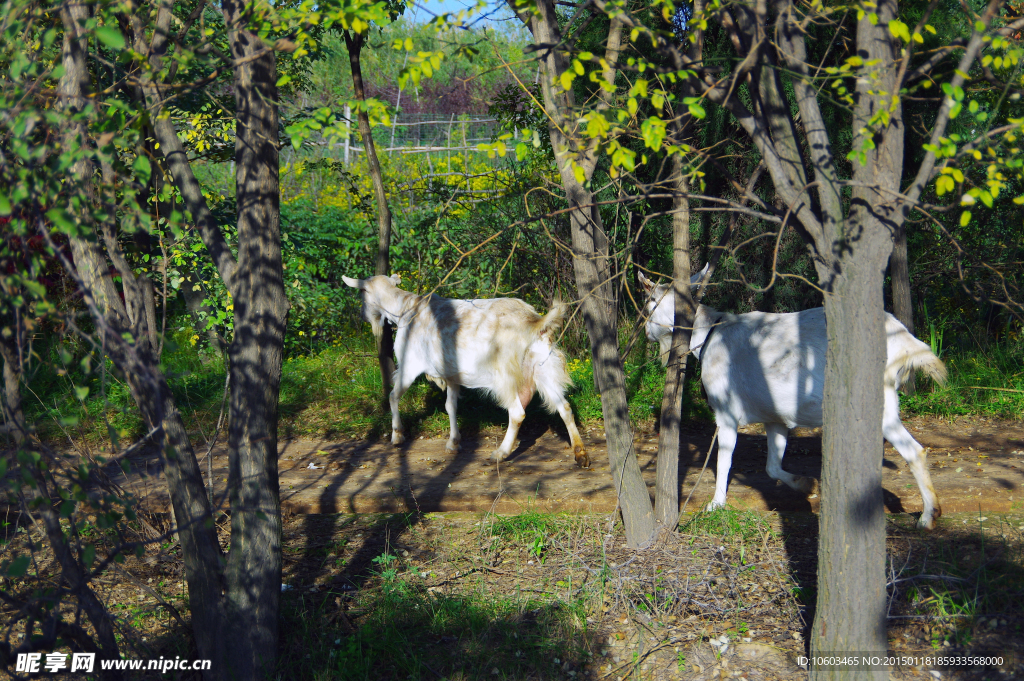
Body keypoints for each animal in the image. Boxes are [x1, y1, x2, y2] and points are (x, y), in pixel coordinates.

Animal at [342, 274, 589, 464]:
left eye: (361, 293)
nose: (362, 316)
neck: (405, 310)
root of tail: (534, 322)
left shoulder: (409, 364)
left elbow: (393, 396)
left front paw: (397, 435)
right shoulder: (451, 374)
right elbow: (450, 406)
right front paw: (453, 443)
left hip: (505, 376)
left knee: (518, 413)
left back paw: (500, 453)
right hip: (543, 368)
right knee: (565, 407)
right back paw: (580, 453)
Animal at [638, 268, 950, 528]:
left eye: (649, 302)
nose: (645, 332)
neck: (708, 336)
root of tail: (906, 343)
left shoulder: (725, 412)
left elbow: (724, 460)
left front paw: (715, 504)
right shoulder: (775, 418)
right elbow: (772, 466)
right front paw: (805, 485)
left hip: (880, 405)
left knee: (915, 451)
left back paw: (927, 517)